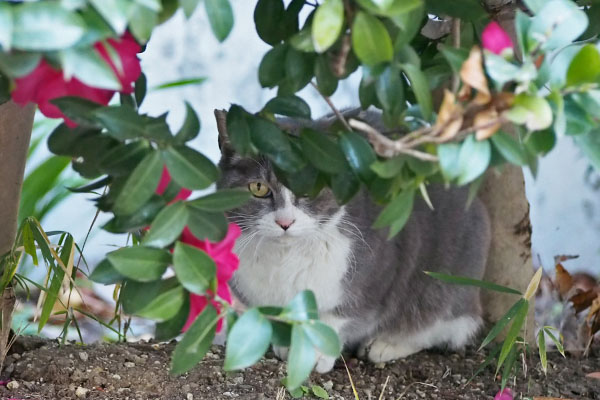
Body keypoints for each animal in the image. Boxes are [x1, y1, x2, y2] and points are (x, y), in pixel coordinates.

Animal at [216, 108, 492, 372]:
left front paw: (314, 352)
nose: (285, 222)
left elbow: (335, 317)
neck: (285, 259)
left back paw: (384, 344)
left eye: (310, 188)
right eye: (259, 187)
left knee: (442, 326)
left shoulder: (373, 276)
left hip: (443, 286)